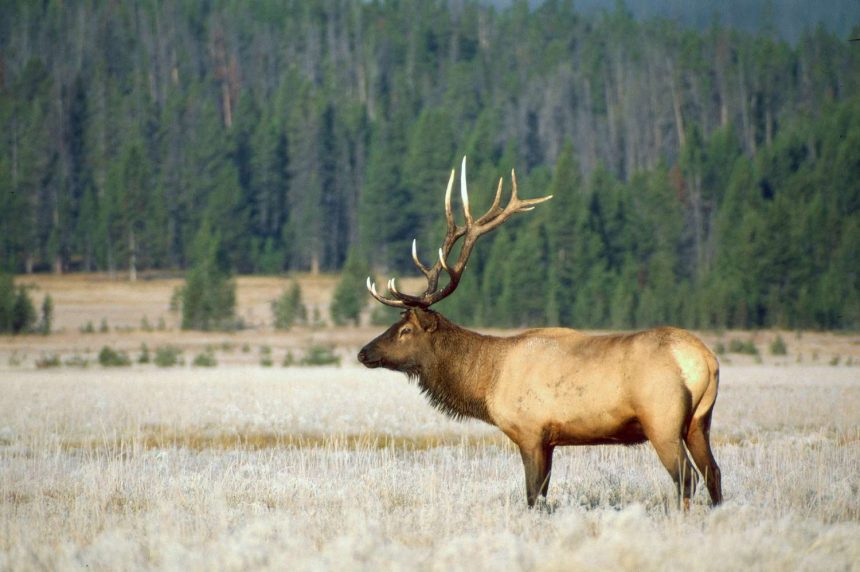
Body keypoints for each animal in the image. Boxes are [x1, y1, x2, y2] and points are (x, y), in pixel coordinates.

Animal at [360, 158, 724, 510]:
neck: (486, 381)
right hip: (699, 421)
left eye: (405, 330)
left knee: (686, 477)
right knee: (713, 473)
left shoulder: (530, 432)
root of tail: (704, 360)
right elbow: (544, 494)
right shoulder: (550, 440)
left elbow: (533, 496)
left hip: (662, 421)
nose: (364, 352)